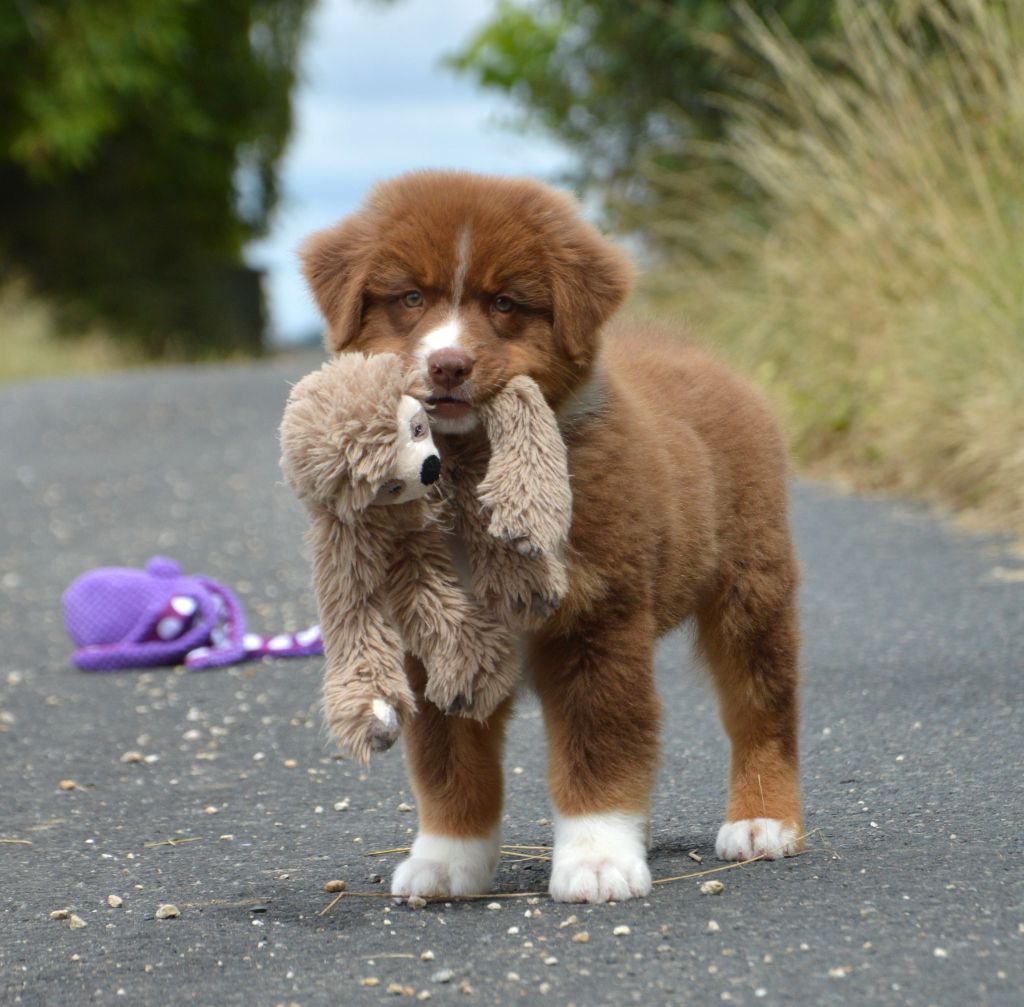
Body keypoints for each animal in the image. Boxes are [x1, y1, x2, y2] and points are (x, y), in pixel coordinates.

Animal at [300, 170, 803, 903]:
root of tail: (702, 358)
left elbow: (600, 745)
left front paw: (597, 860)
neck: (471, 467)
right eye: (411, 298)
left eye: (506, 303)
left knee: (762, 704)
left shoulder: (597, 619)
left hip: (752, 584)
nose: (448, 363)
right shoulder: (437, 639)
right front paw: (447, 857)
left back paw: (764, 820)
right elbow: (448, 760)